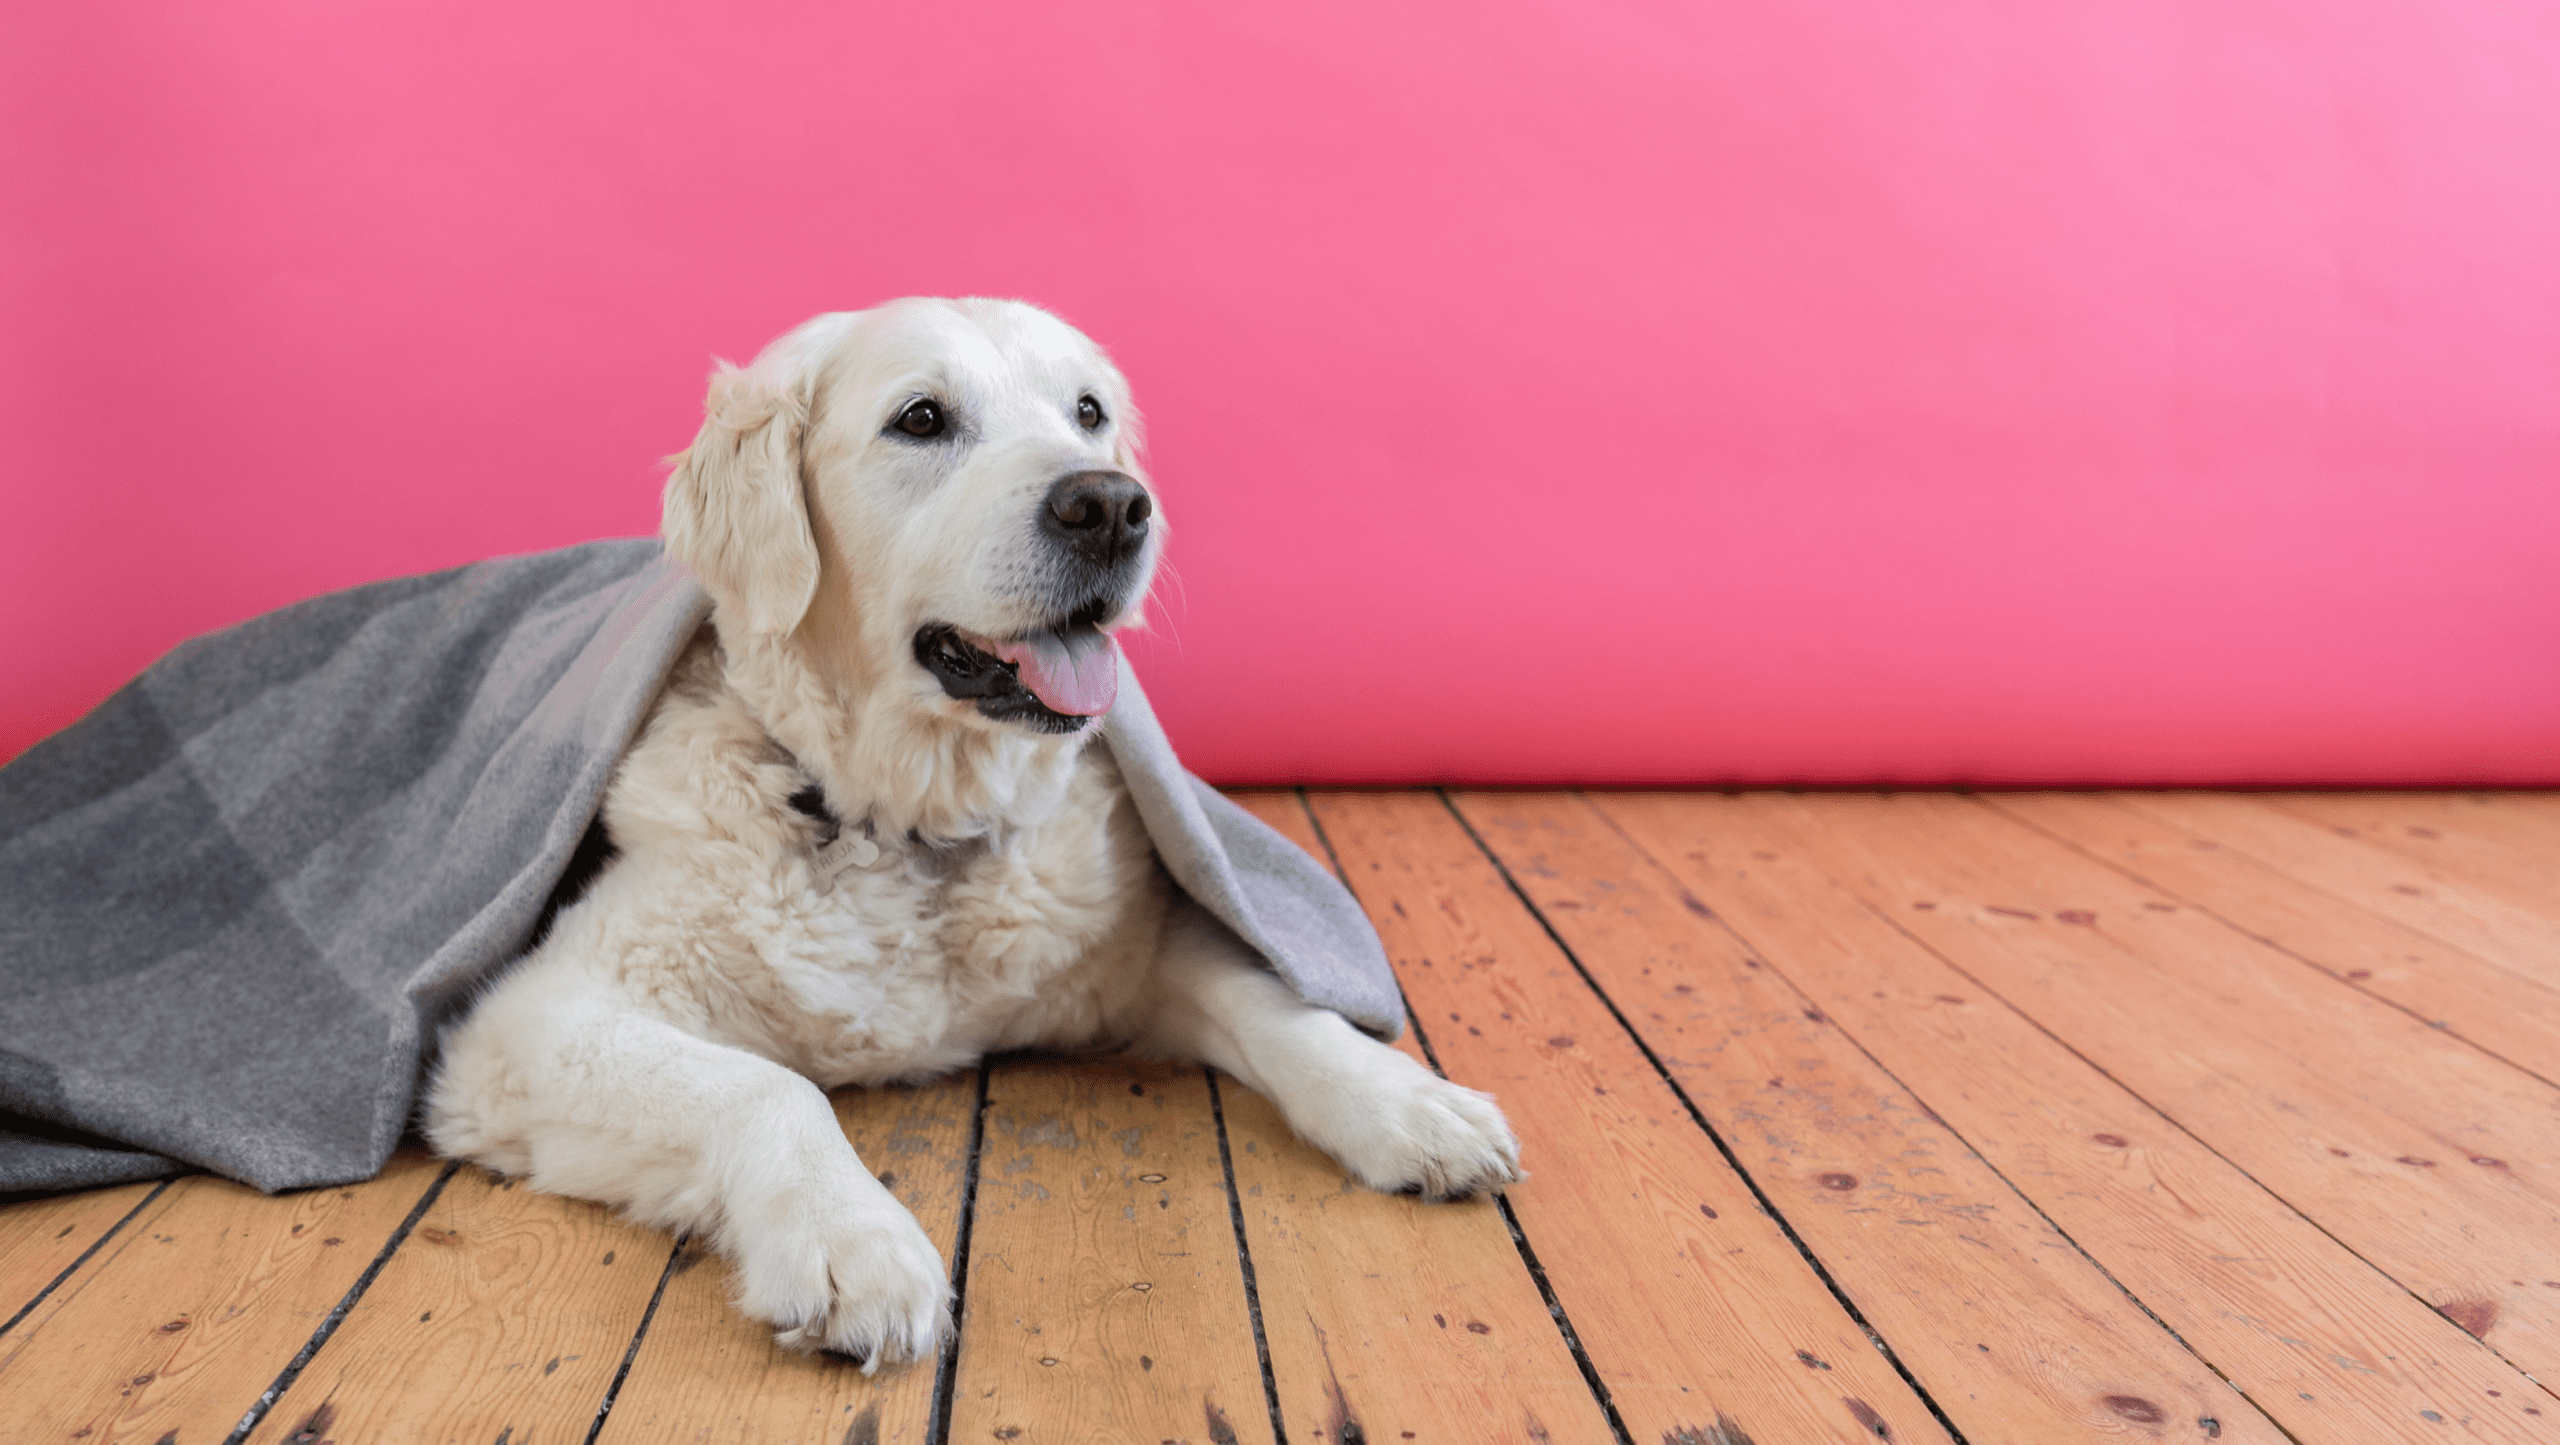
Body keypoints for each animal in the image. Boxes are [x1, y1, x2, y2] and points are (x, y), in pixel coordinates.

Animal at [424, 299, 1515, 1373]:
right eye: (921, 418)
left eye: (1088, 411)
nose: (1111, 506)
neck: (915, 835)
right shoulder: (526, 1026)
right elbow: (768, 1084)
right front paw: (852, 1240)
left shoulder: (1135, 947)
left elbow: (1274, 999)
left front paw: (1409, 1102)